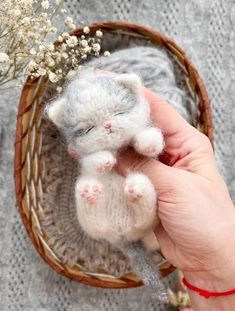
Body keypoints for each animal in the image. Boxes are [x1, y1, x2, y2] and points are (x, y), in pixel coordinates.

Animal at [45, 70, 163, 251]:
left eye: (119, 113)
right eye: (88, 129)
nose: (107, 125)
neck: (118, 149)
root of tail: (123, 235)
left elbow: (150, 142)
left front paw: (148, 142)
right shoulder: (82, 157)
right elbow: (90, 160)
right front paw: (104, 160)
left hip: (150, 221)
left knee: (145, 218)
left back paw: (137, 189)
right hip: (94, 226)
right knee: (96, 223)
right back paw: (90, 193)